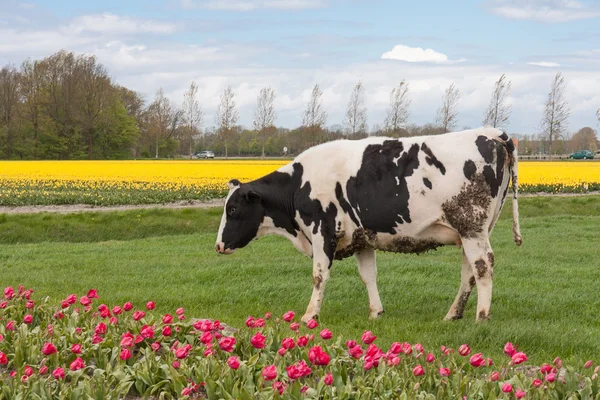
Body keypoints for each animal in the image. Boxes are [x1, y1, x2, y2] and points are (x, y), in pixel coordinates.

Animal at [214, 127, 520, 322]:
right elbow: (368, 276)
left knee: (483, 265)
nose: (217, 246)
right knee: (469, 270)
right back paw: (453, 315)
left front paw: (310, 315)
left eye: (232, 208)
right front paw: (376, 313)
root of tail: (492, 133)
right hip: (472, 230)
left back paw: (481, 317)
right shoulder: (362, 237)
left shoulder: (322, 231)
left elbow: (319, 276)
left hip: (471, 226)